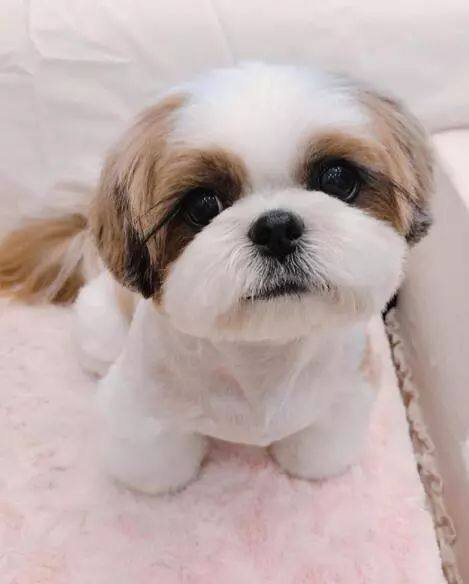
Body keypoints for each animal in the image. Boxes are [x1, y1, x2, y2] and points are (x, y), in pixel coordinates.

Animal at [0, 63, 433, 494]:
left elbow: (314, 457)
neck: (262, 355)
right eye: (203, 204)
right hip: (101, 329)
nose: (276, 228)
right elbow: (158, 470)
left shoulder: (346, 393)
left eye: (338, 179)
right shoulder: (142, 413)